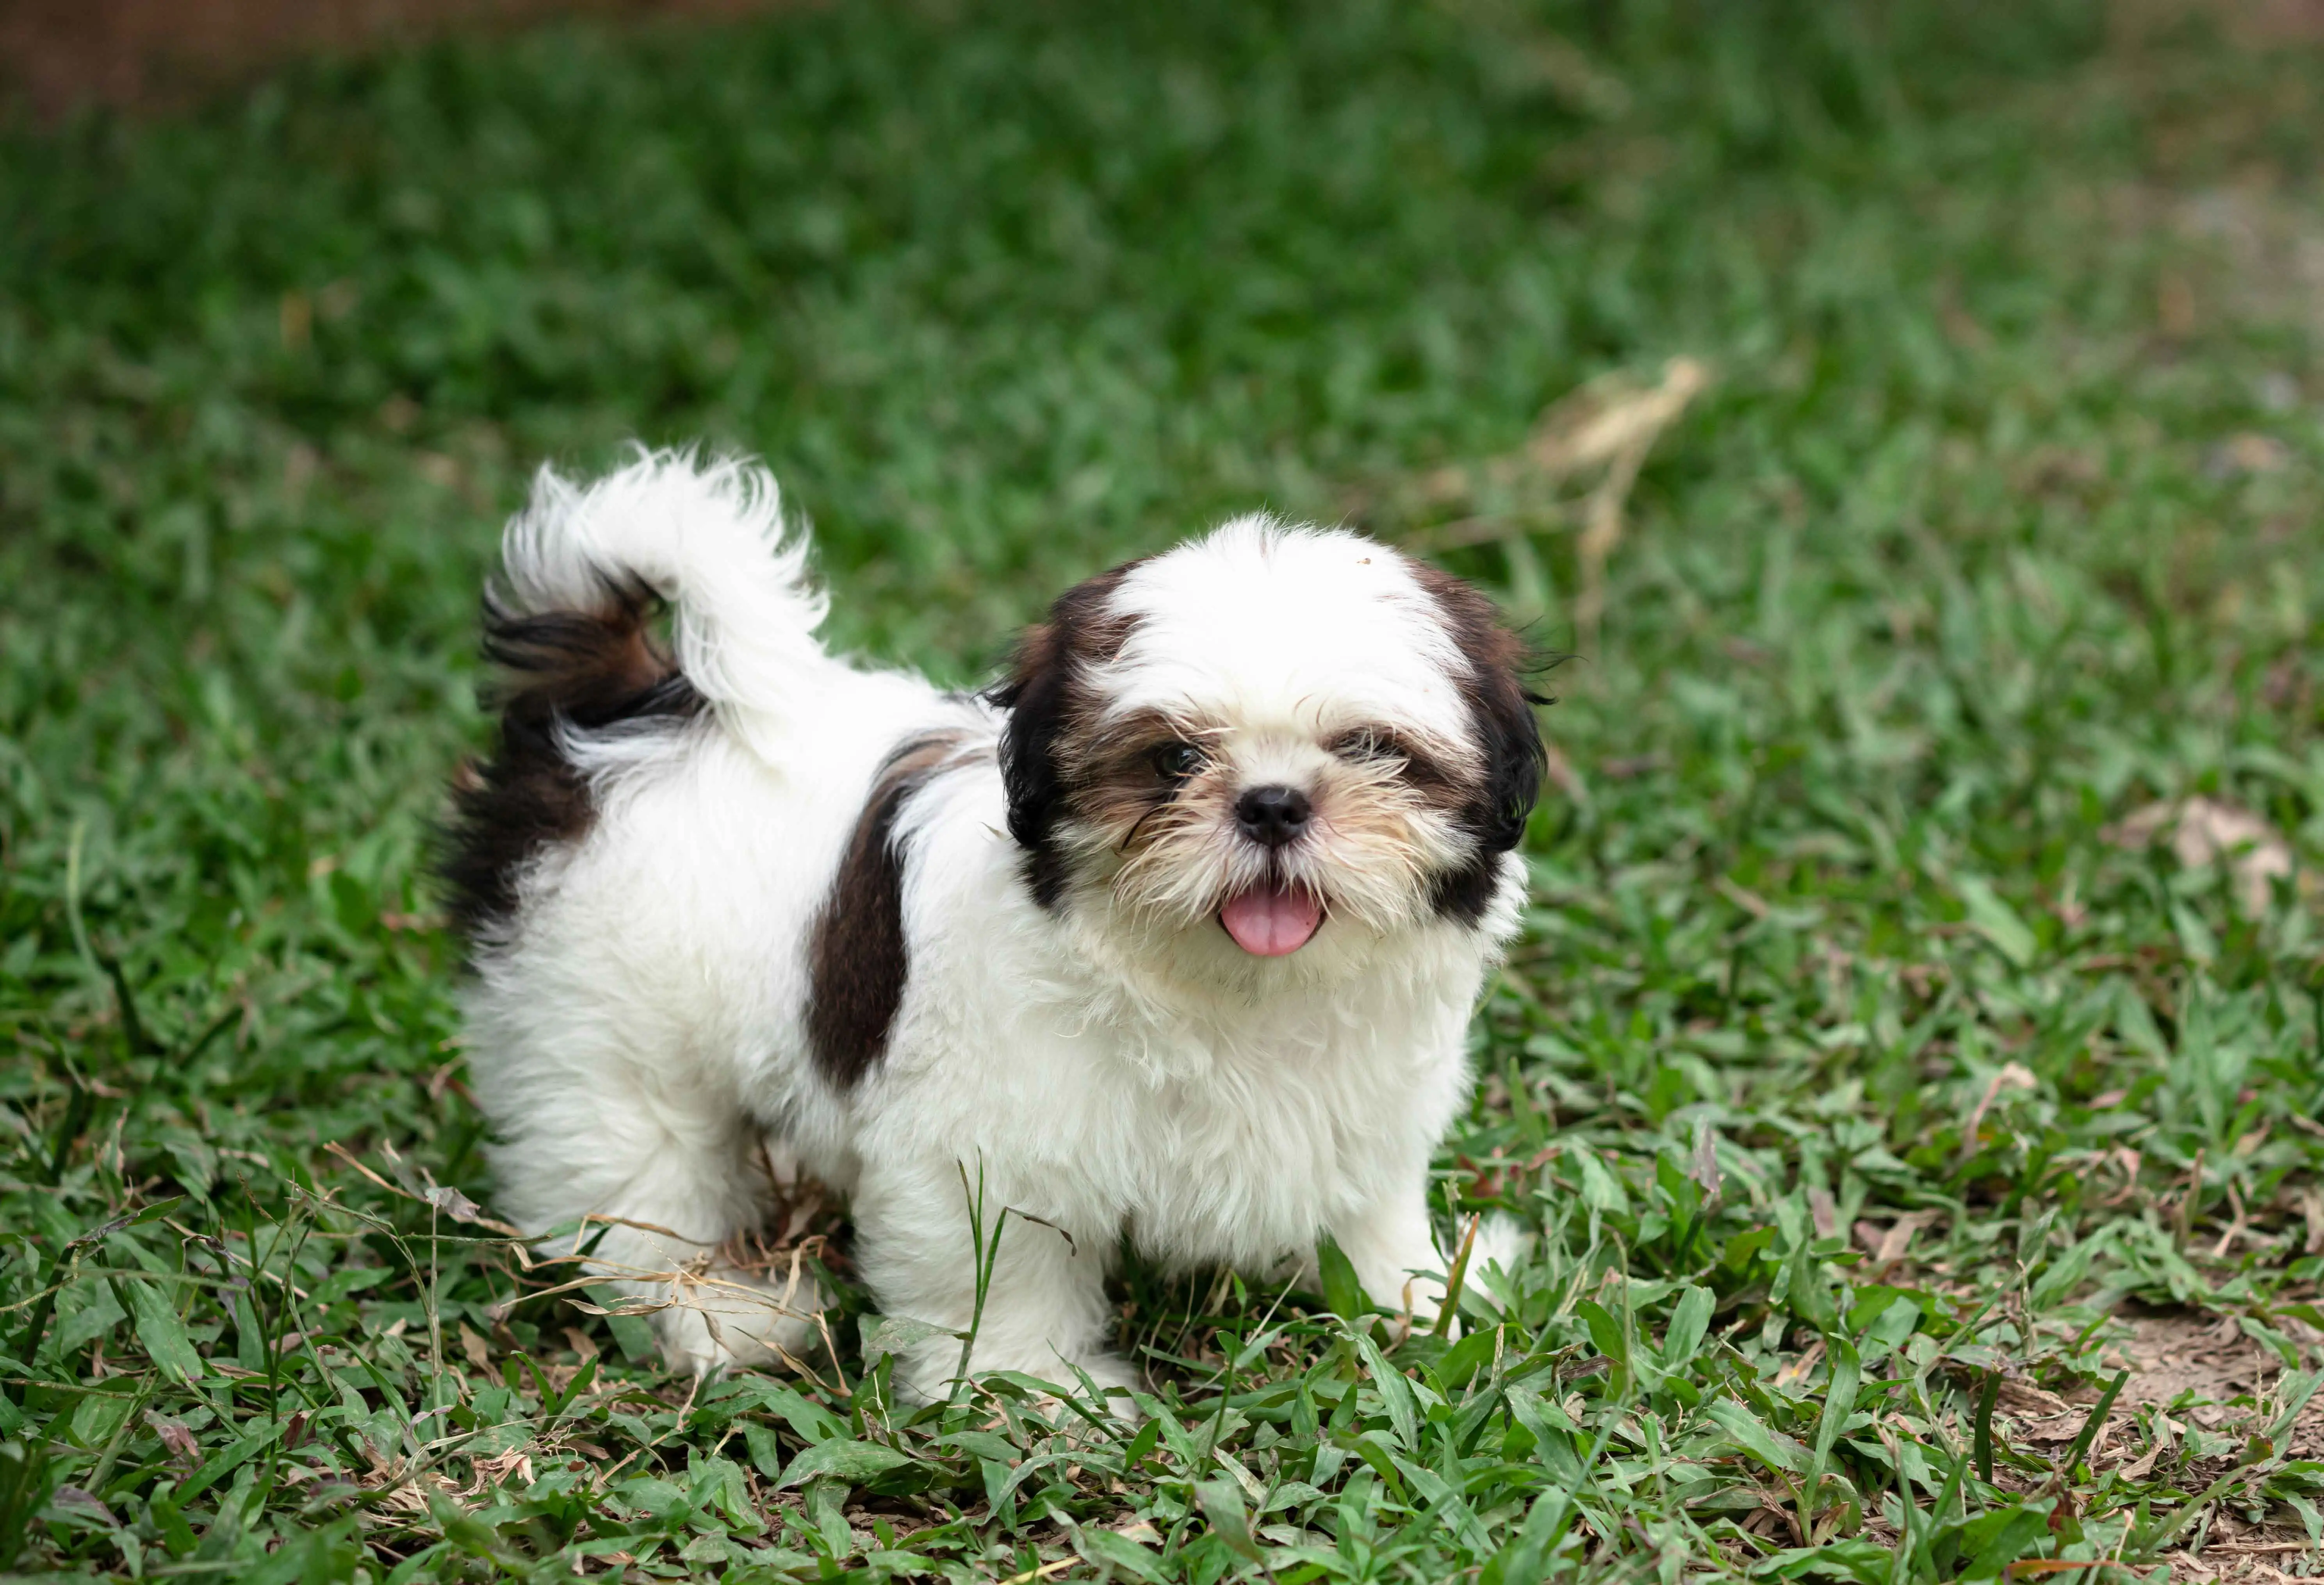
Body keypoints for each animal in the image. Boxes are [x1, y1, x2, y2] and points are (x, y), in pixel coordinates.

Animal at [451, 444, 1543, 1394]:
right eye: (1173, 760)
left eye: (1370, 748)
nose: (1272, 803)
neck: (1222, 988)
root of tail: (628, 711)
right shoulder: (981, 1146)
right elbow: (999, 1264)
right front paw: (1031, 1388)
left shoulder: (1366, 1109)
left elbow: (1371, 1210)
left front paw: (1422, 1294)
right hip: (601, 1023)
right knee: (632, 1189)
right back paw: (717, 1311)